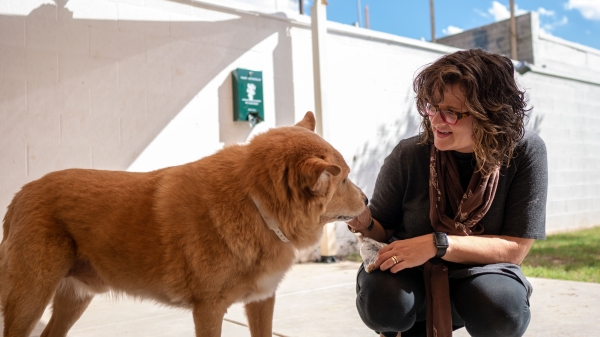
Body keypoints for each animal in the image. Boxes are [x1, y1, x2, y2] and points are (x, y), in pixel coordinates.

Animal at [0, 112, 366, 336]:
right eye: (344, 179)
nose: (366, 201)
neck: (254, 203)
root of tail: (21, 193)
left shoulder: (261, 301)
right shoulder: (209, 311)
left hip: (74, 299)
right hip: (29, 301)